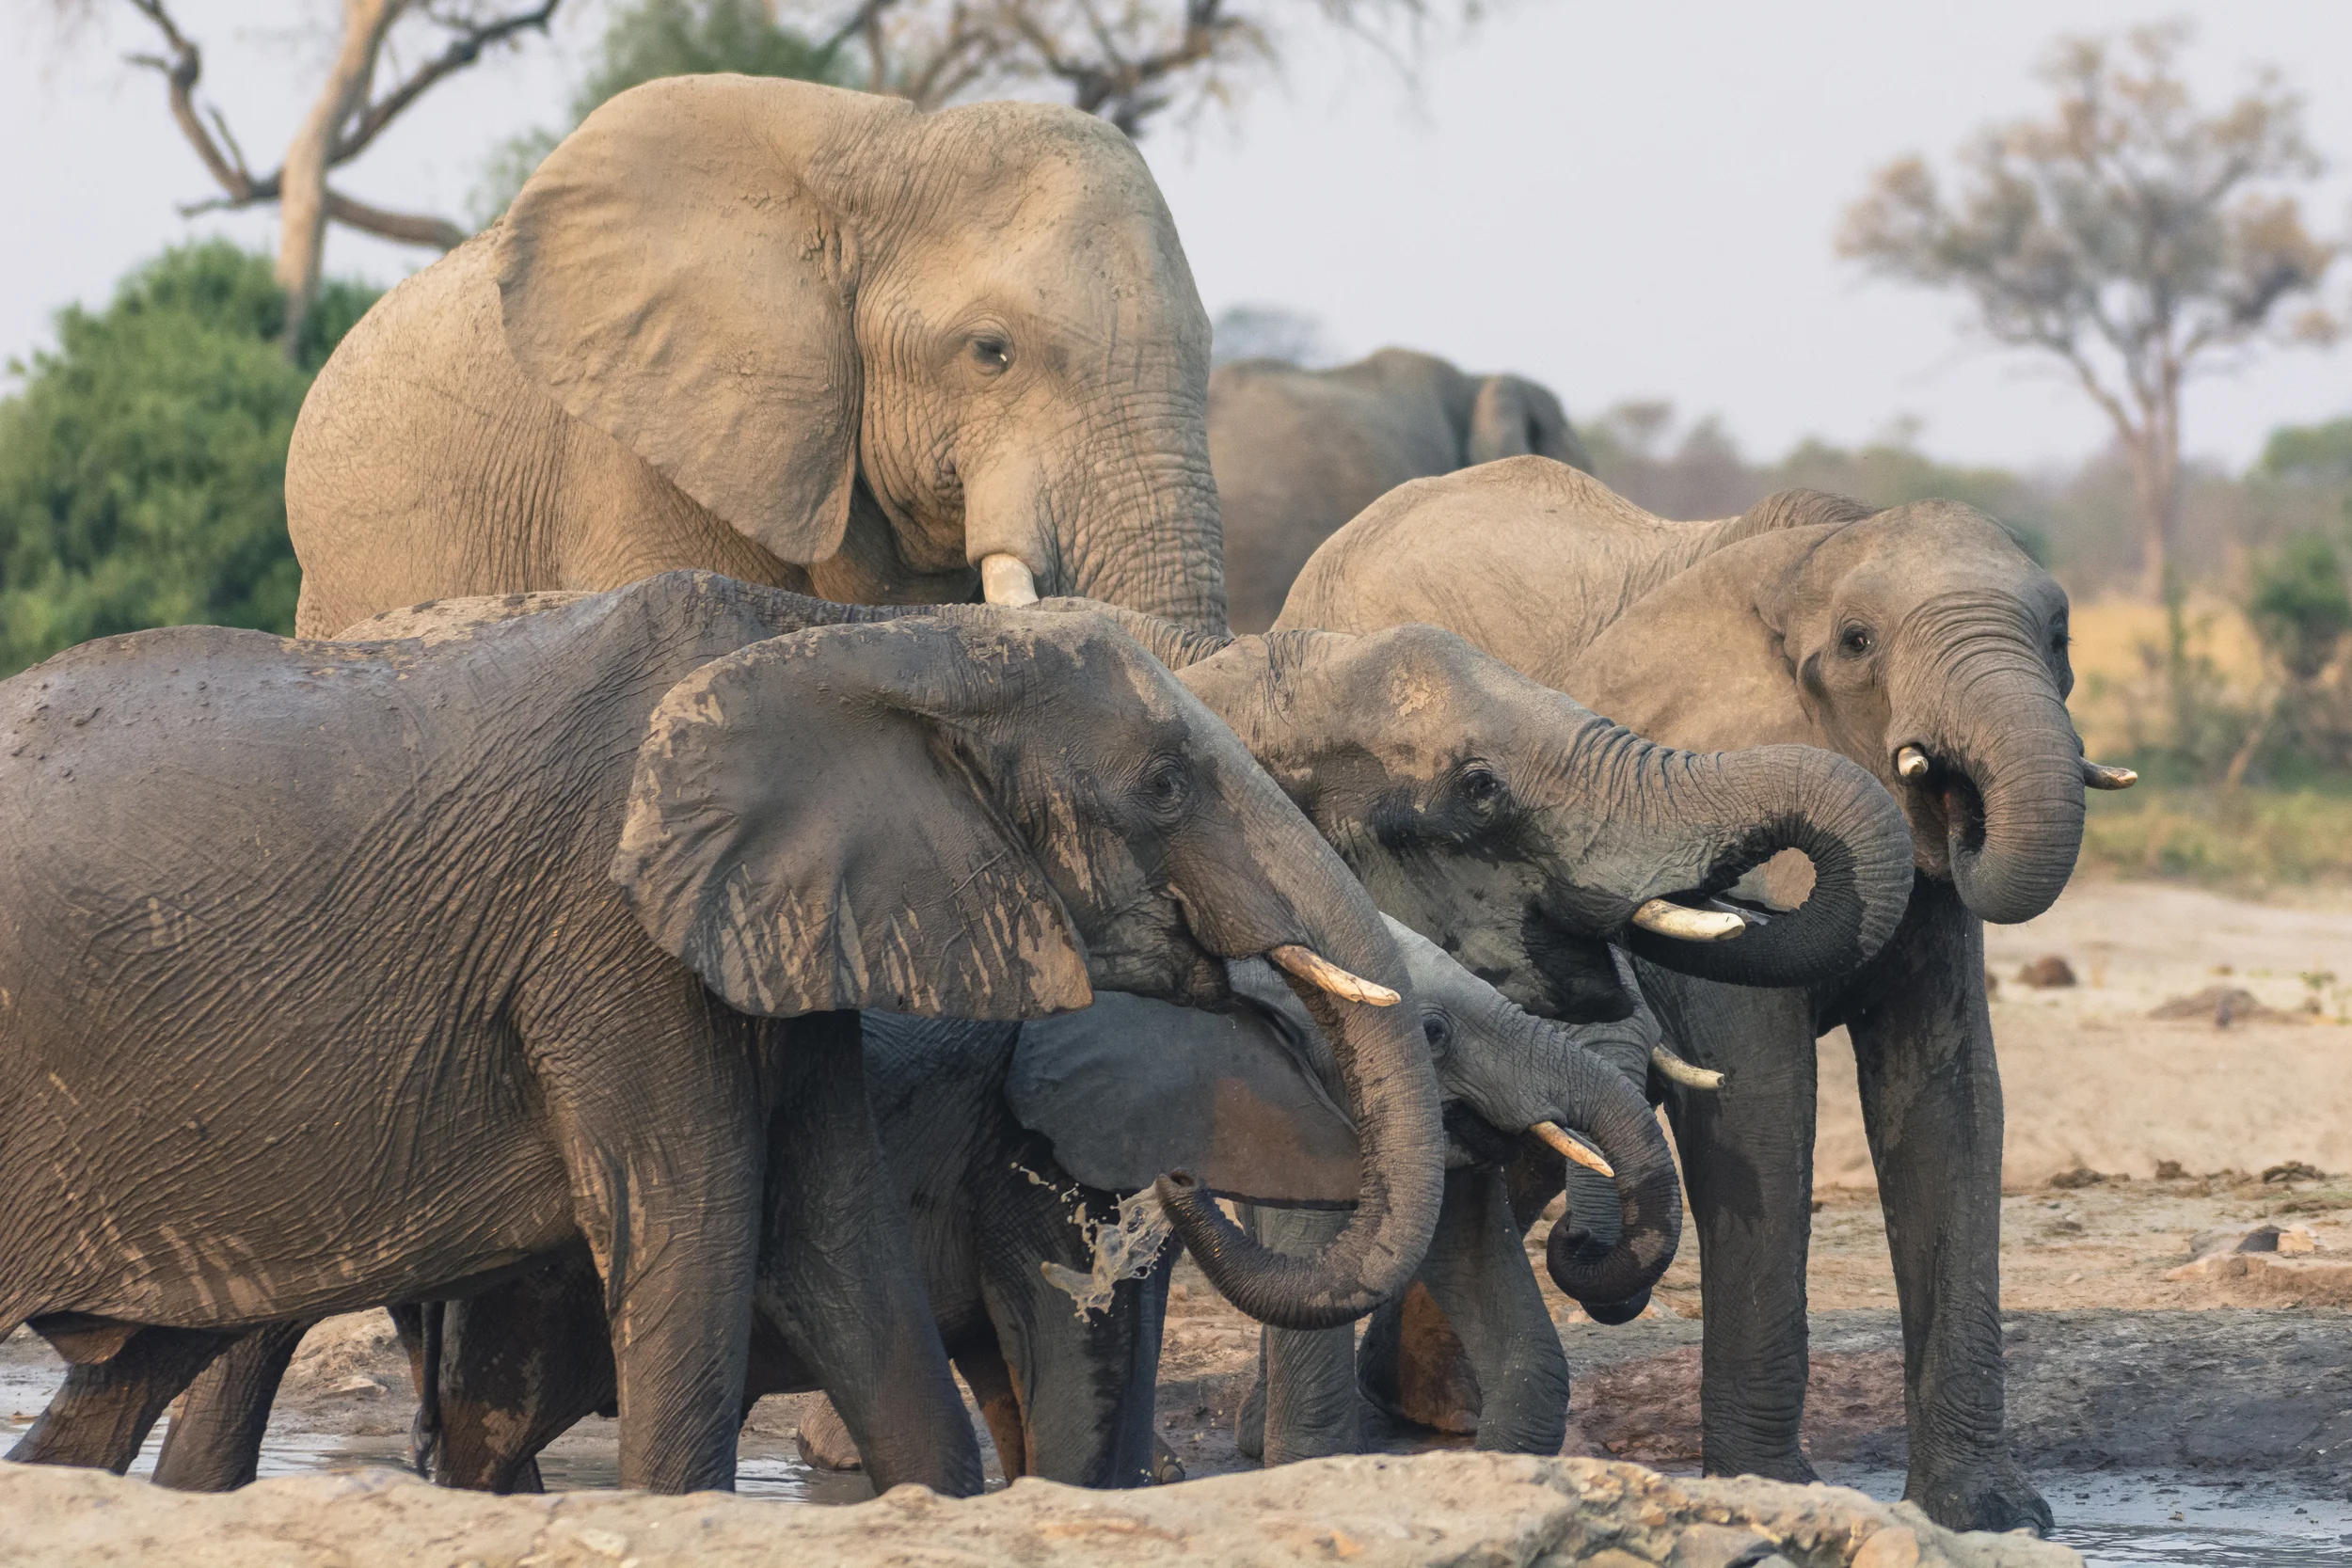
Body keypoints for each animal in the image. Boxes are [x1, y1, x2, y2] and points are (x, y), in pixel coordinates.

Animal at [0, 571, 1445, 1496]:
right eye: (1164, 783)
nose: (1180, 1191)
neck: (869, 639)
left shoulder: (778, 933)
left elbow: (835, 1248)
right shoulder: (609, 938)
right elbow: (692, 1217)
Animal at [1278, 457, 2141, 1533]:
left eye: (2058, 638)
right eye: (1858, 643)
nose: (1955, 787)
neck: (1816, 553)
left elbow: (1948, 1099)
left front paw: (1989, 1517)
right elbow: (1760, 1095)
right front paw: (1777, 1490)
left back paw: (1431, 1416)